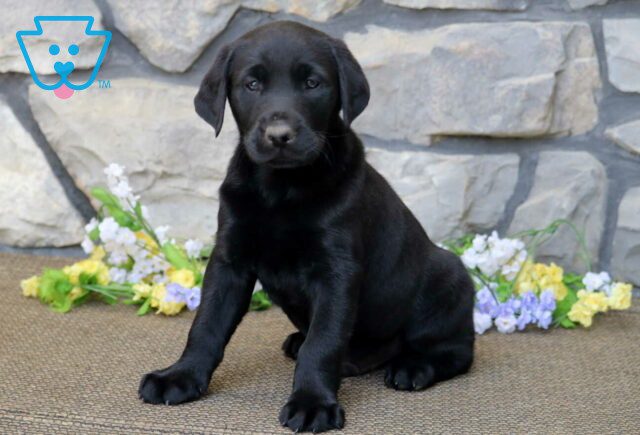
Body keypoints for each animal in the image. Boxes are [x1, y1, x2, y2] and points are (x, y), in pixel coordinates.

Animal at [140, 21, 472, 435]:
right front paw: (180, 376)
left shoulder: (337, 271)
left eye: (313, 83)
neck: (281, 189)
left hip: (450, 275)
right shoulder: (229, 261)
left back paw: (414, 367)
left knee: (457, 351)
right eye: (252, 84)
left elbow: (324, 342)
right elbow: (206, 325)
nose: (279, 135)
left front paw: (313, 403)